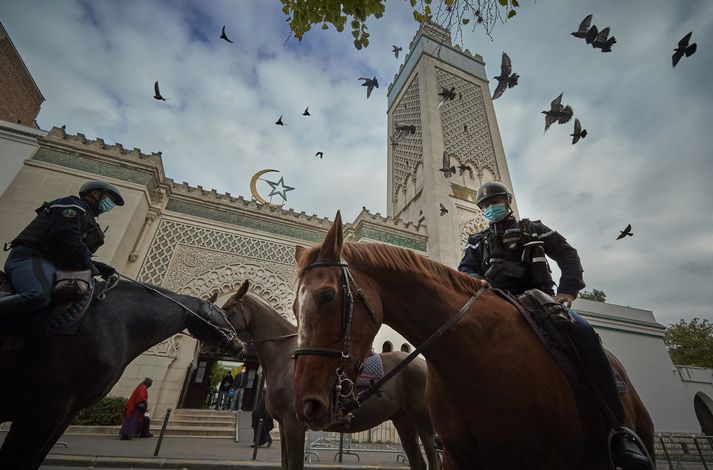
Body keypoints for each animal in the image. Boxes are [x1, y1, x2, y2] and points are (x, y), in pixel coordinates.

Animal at [222, 280, 440, 470]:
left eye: (227, 308)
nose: (234, 346)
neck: (286, 357)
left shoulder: (294, 426)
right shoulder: (284, 426)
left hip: (424, 422)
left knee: (435, 460)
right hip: (403, 421)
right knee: (418, 463)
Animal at [290, 213, 652, 470]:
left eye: (327, 296)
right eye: (293, 307)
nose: (307, 404)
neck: (471, 354)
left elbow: (562, 249)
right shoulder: (459, 456)